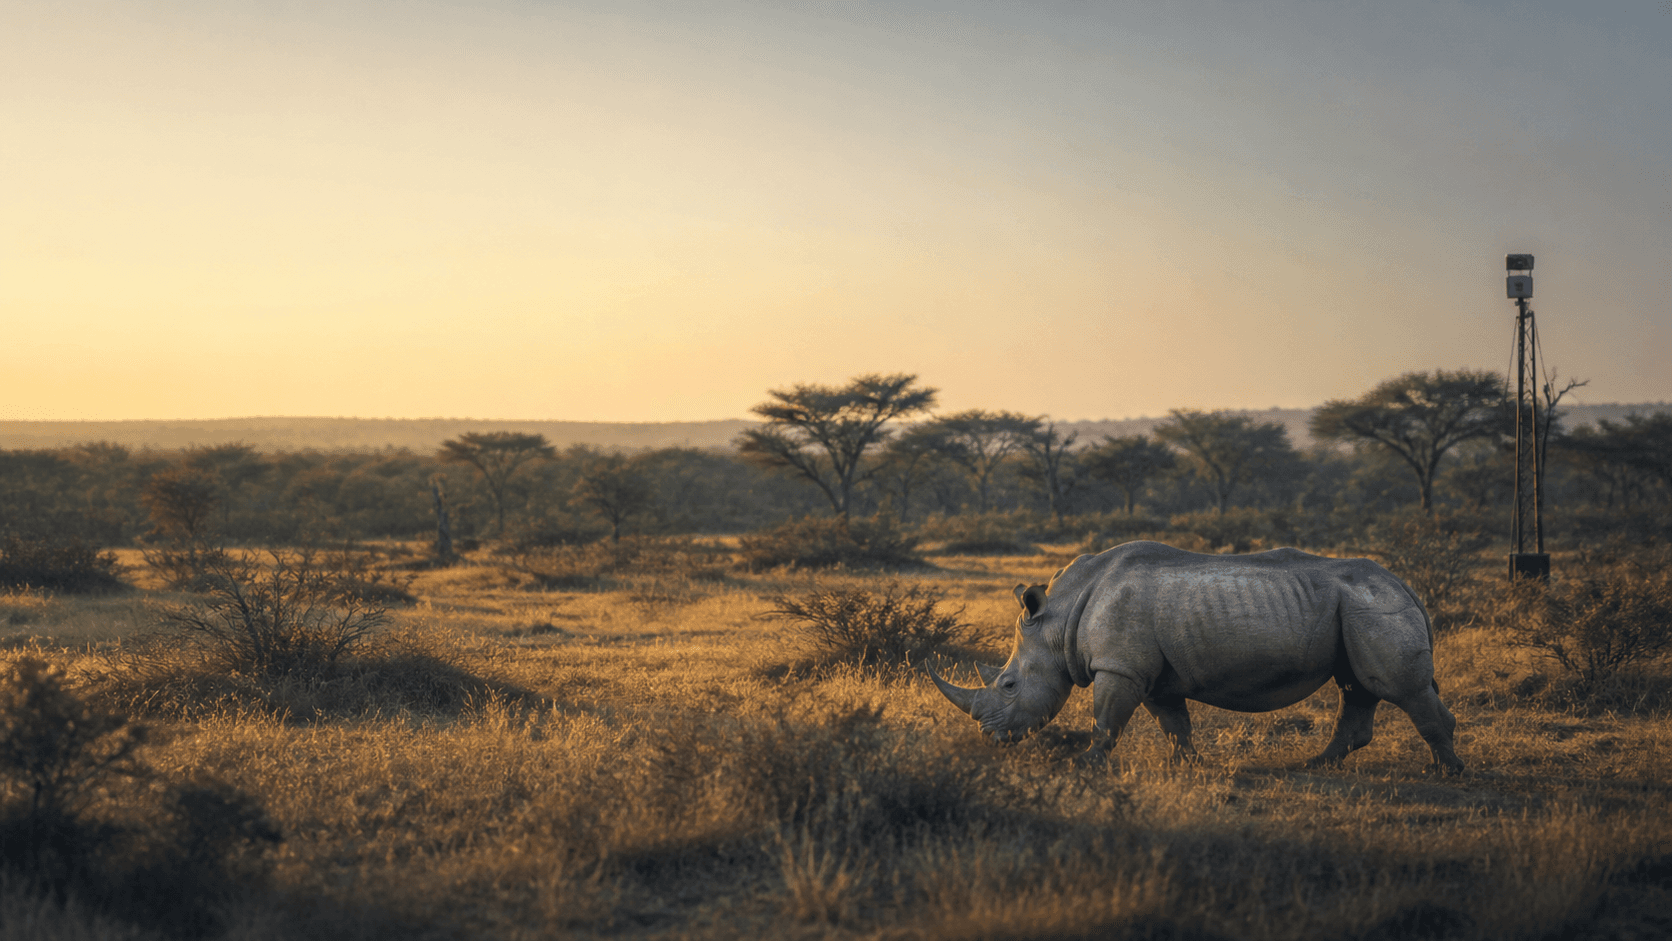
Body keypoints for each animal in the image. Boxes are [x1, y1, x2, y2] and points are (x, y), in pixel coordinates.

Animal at [926, 541, 1464, 773]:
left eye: (1008, 685)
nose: (991, 738)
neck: (1058, 621)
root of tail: (1405, 585)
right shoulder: (1149, 673)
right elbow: (1173, 723)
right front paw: (1191, 764)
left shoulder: (1119, 667)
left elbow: (1106, 720)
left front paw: (1084, 763)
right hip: (1355, 606)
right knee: (1356, 686)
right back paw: (1315, 765)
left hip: (1372, 605)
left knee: (1399, 688)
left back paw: (1447, 771)